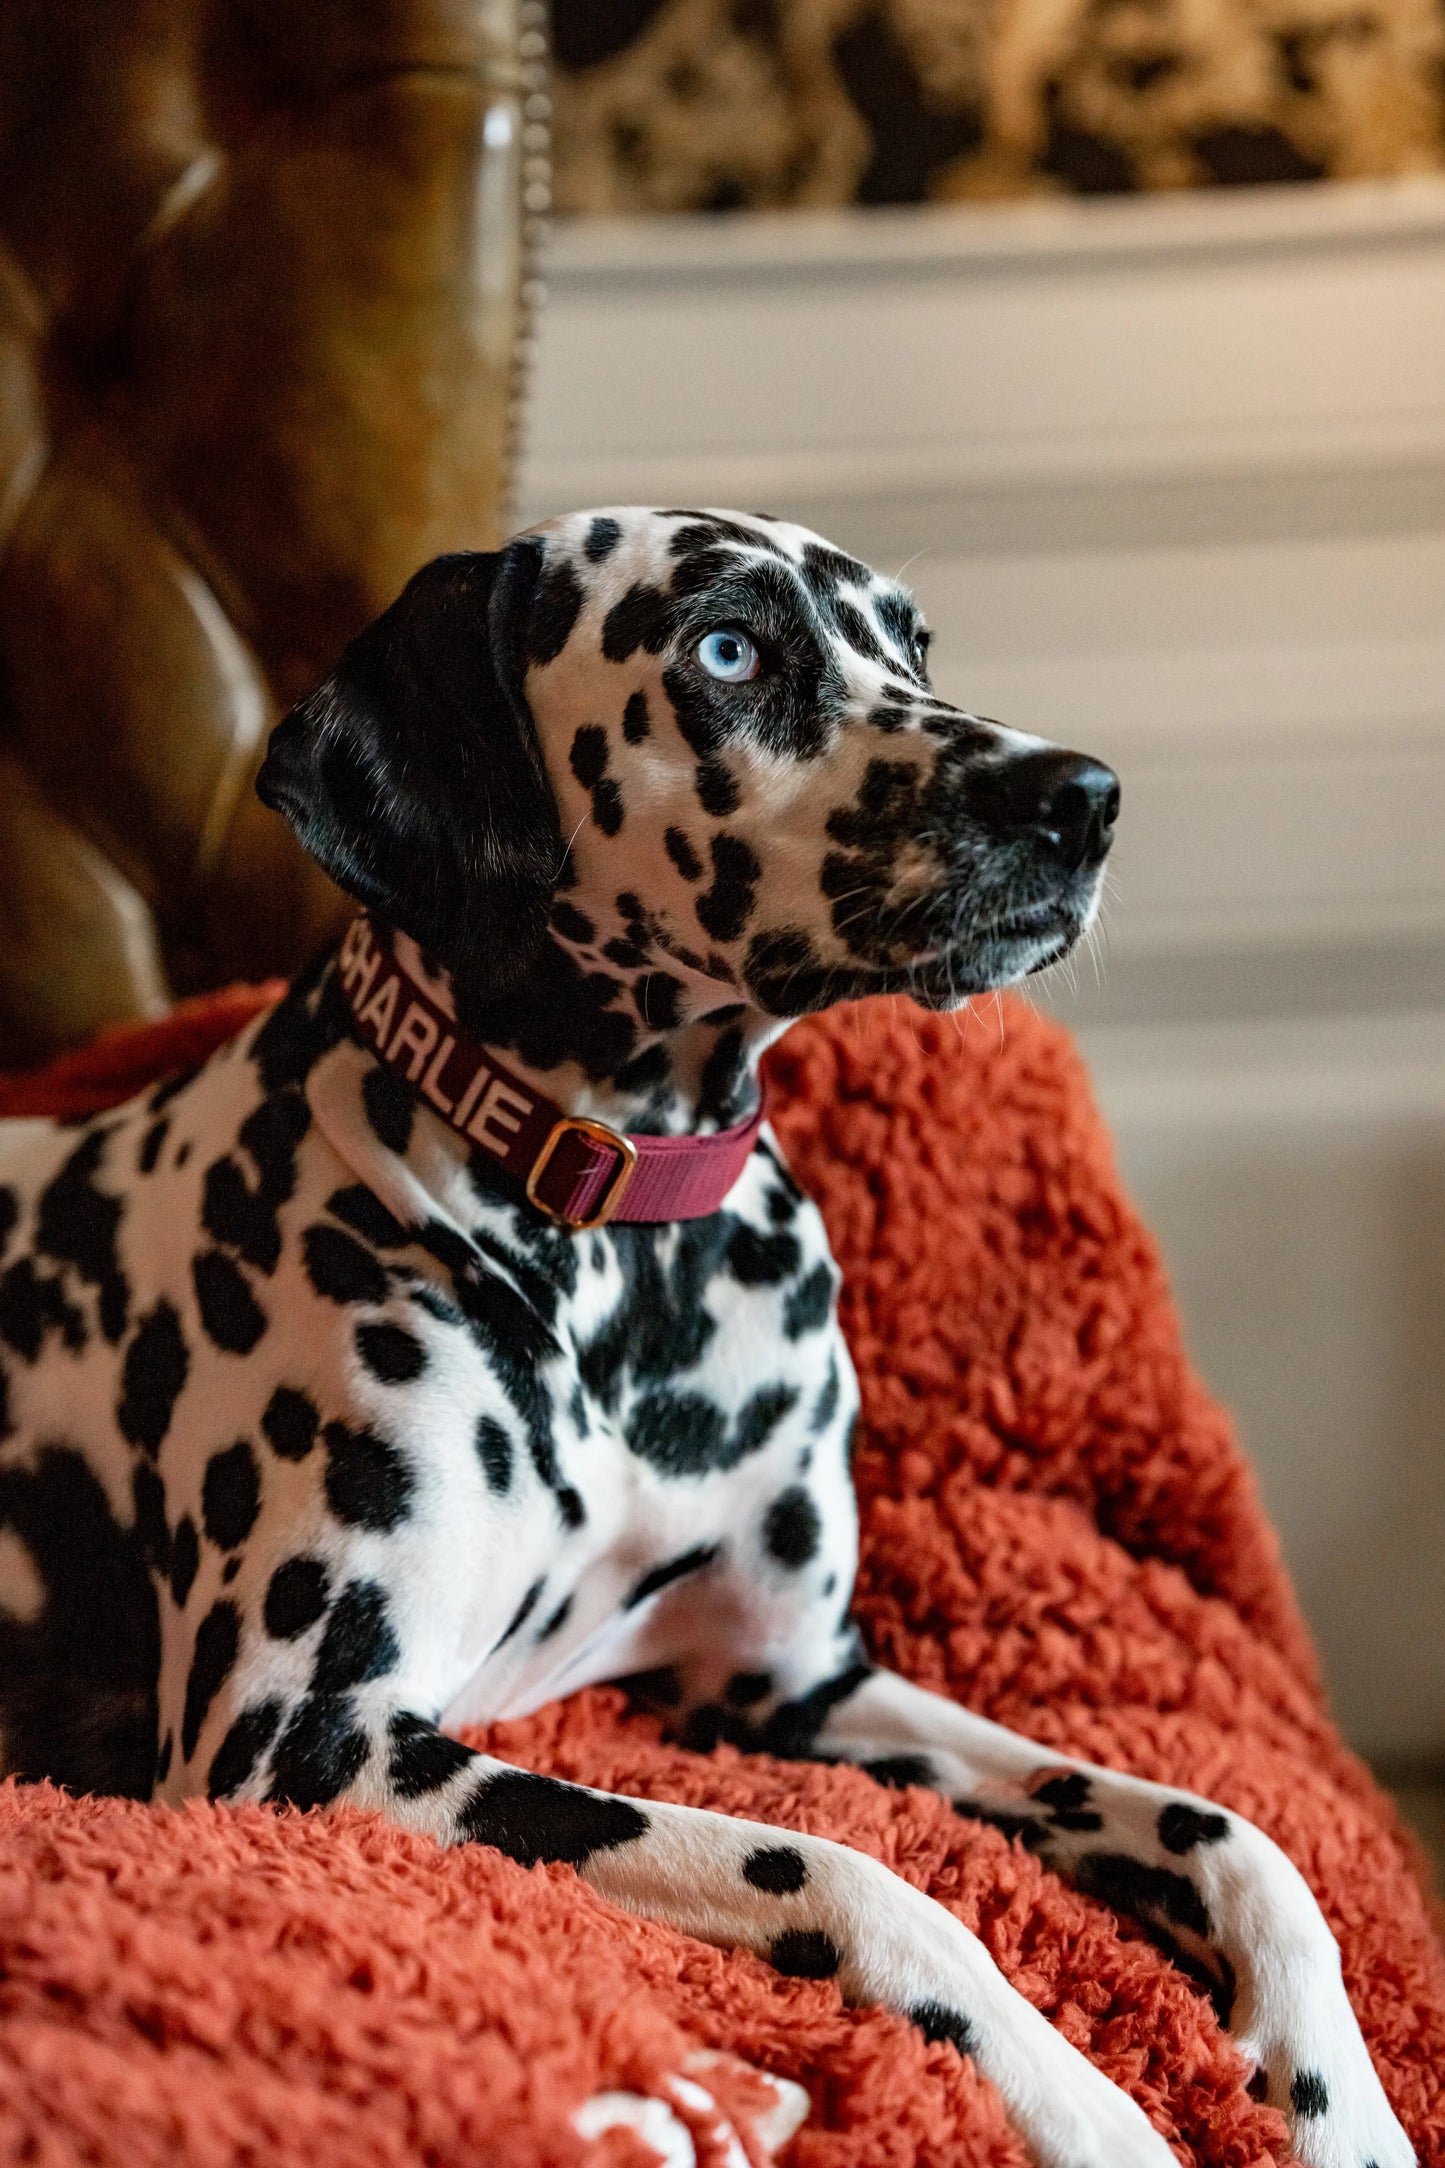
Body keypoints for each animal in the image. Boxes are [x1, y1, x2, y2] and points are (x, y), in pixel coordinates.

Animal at [0, 511, 1412, 2168]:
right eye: (727, 648)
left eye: (910, 643)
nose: (1083, 797)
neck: (629, 1257)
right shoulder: (300, 1751)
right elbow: (858, 1876)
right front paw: (1088, 2109)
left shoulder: (795, 1684)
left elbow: (1228, 1830)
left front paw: (1338, 2097)